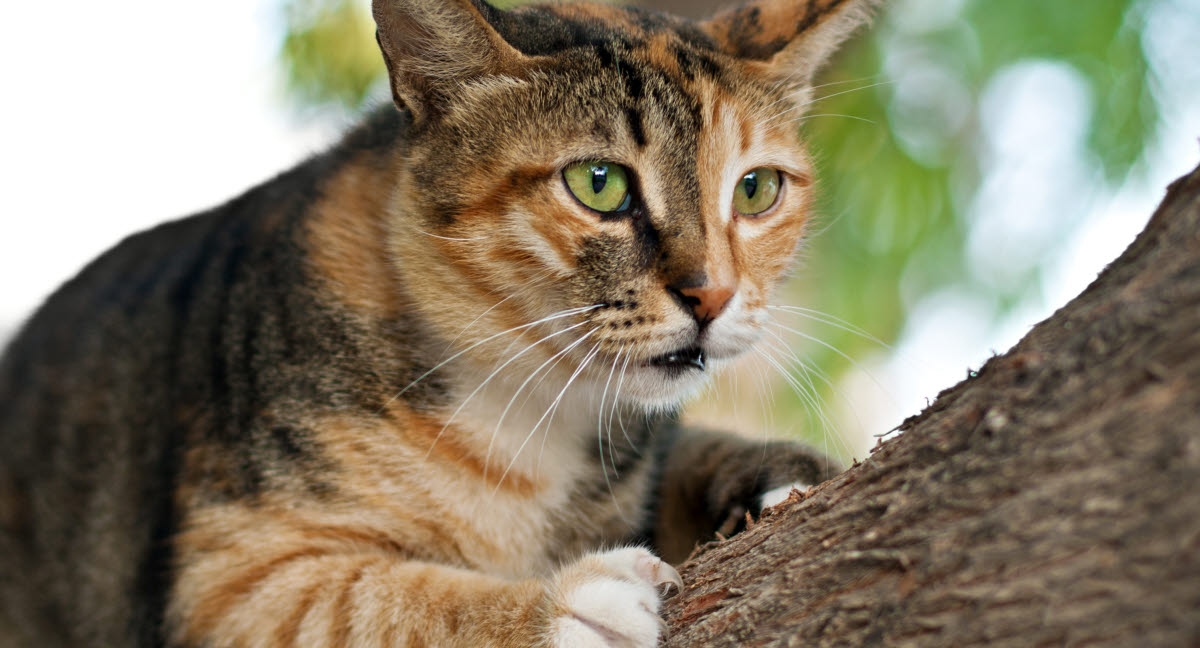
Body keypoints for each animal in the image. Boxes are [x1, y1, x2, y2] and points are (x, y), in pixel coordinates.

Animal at [0, 0, 883, 643]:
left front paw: (777, 477)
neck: (536, 417)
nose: (713, 296)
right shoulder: (230, 580)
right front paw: (565, 607)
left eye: (757, 189)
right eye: (598, 183)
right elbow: (377, 603)